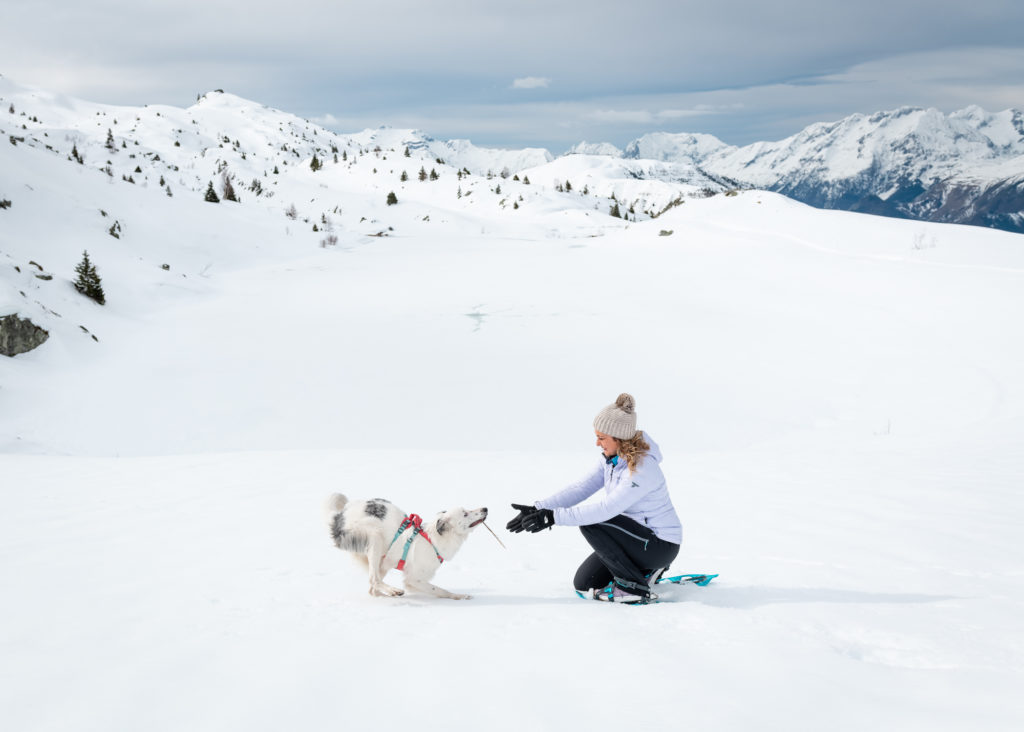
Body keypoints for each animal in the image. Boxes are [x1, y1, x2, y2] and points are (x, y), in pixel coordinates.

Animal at [327, 493, 487, 601]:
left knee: (372, 589)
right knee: (374, 580)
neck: (433, 540)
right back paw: (393, 591)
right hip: (374, 537)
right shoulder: (413, 579)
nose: (485, 508)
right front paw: (458, 596)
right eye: (465, 514)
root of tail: (341, 515)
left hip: (384, 560)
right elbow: (441, 590)